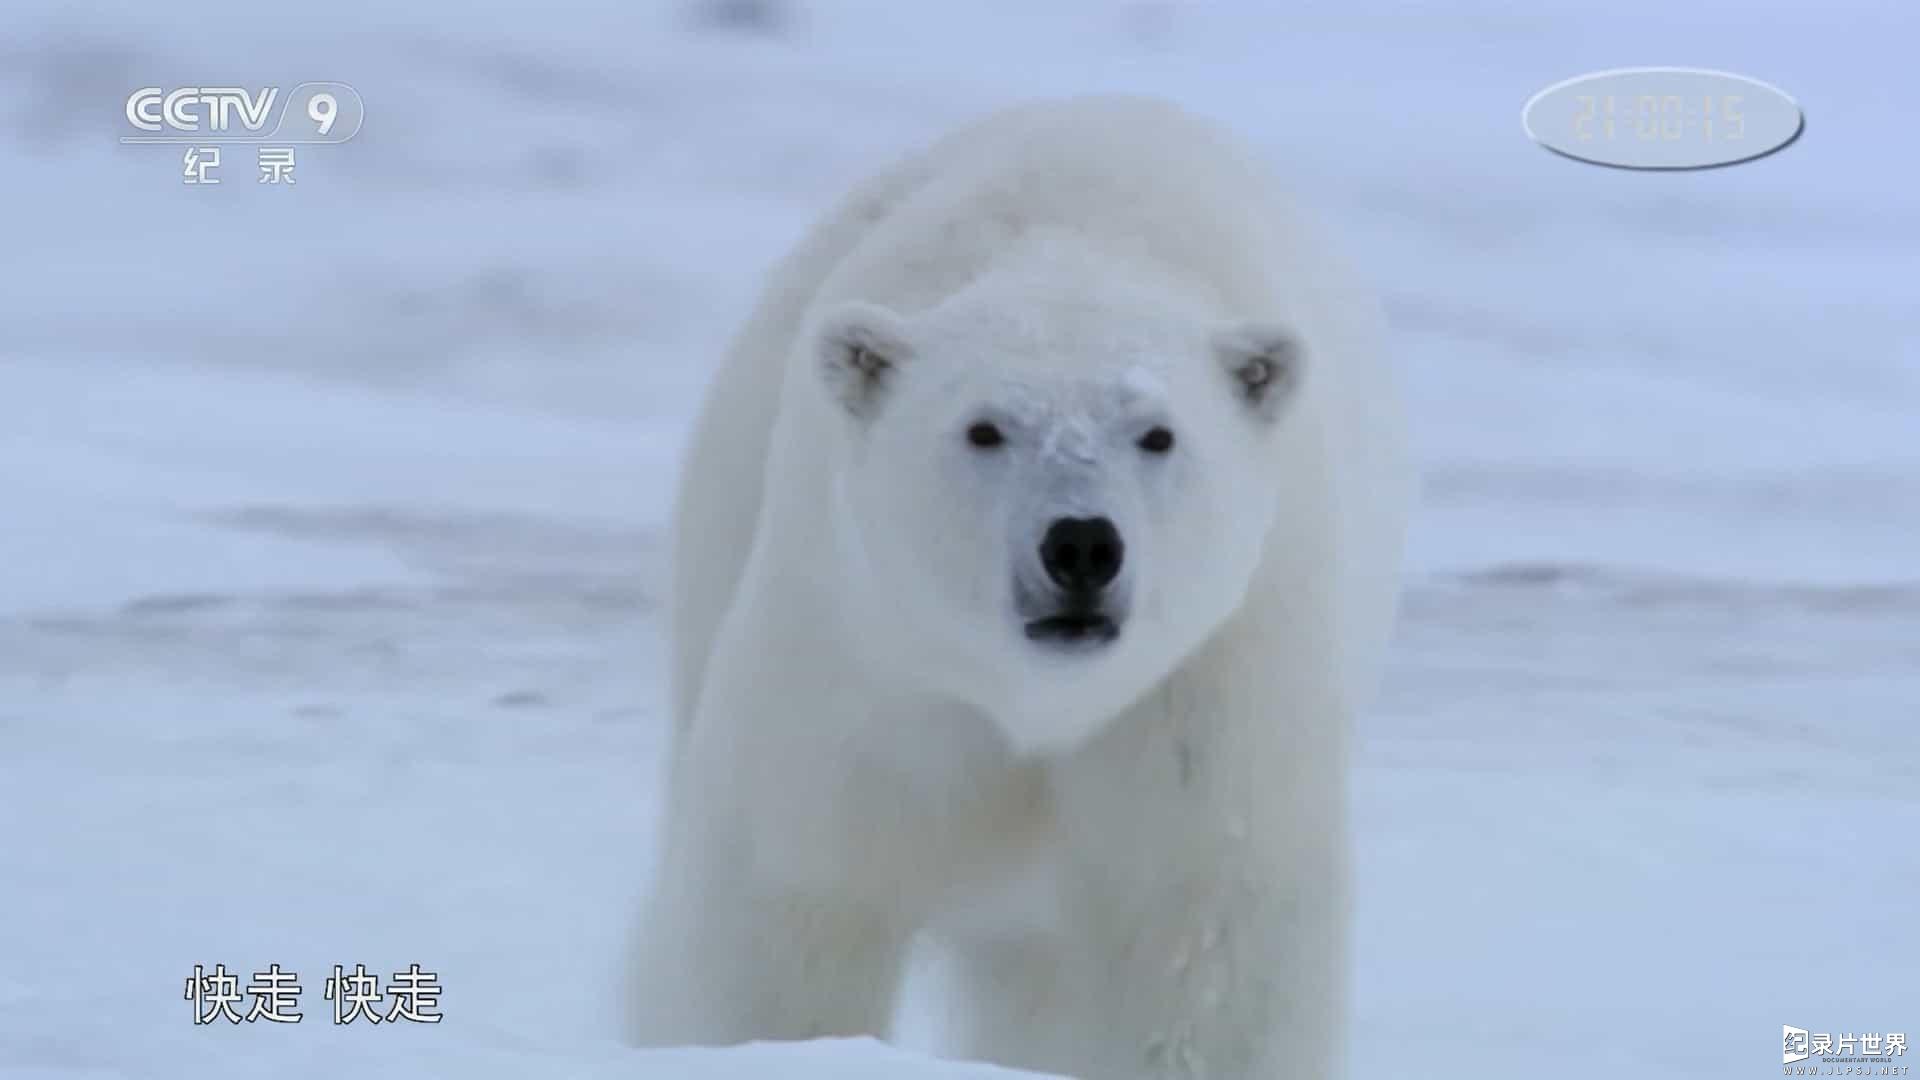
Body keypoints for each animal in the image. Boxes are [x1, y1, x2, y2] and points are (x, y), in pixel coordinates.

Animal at [625, 94, 1413, 1076]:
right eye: (985, 428)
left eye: (1158, 433)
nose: (1081, 545)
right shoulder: (861, 658)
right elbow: (790, 898)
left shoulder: (1205, 691)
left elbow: (1205, 933)